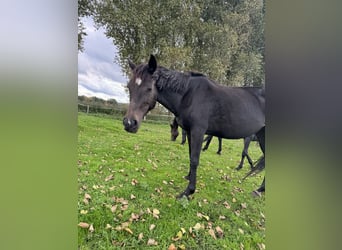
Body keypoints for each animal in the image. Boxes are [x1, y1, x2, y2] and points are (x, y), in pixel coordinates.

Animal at [122, 55, 264, 198]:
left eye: (149, 88)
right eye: (129, 87)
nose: (129, 123)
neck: (189, 95)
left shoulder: (198, 131)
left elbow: (195, 160)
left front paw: (188, 191)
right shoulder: (190, 132)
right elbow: (191, 155)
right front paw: (188, 177)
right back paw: (259, 190)